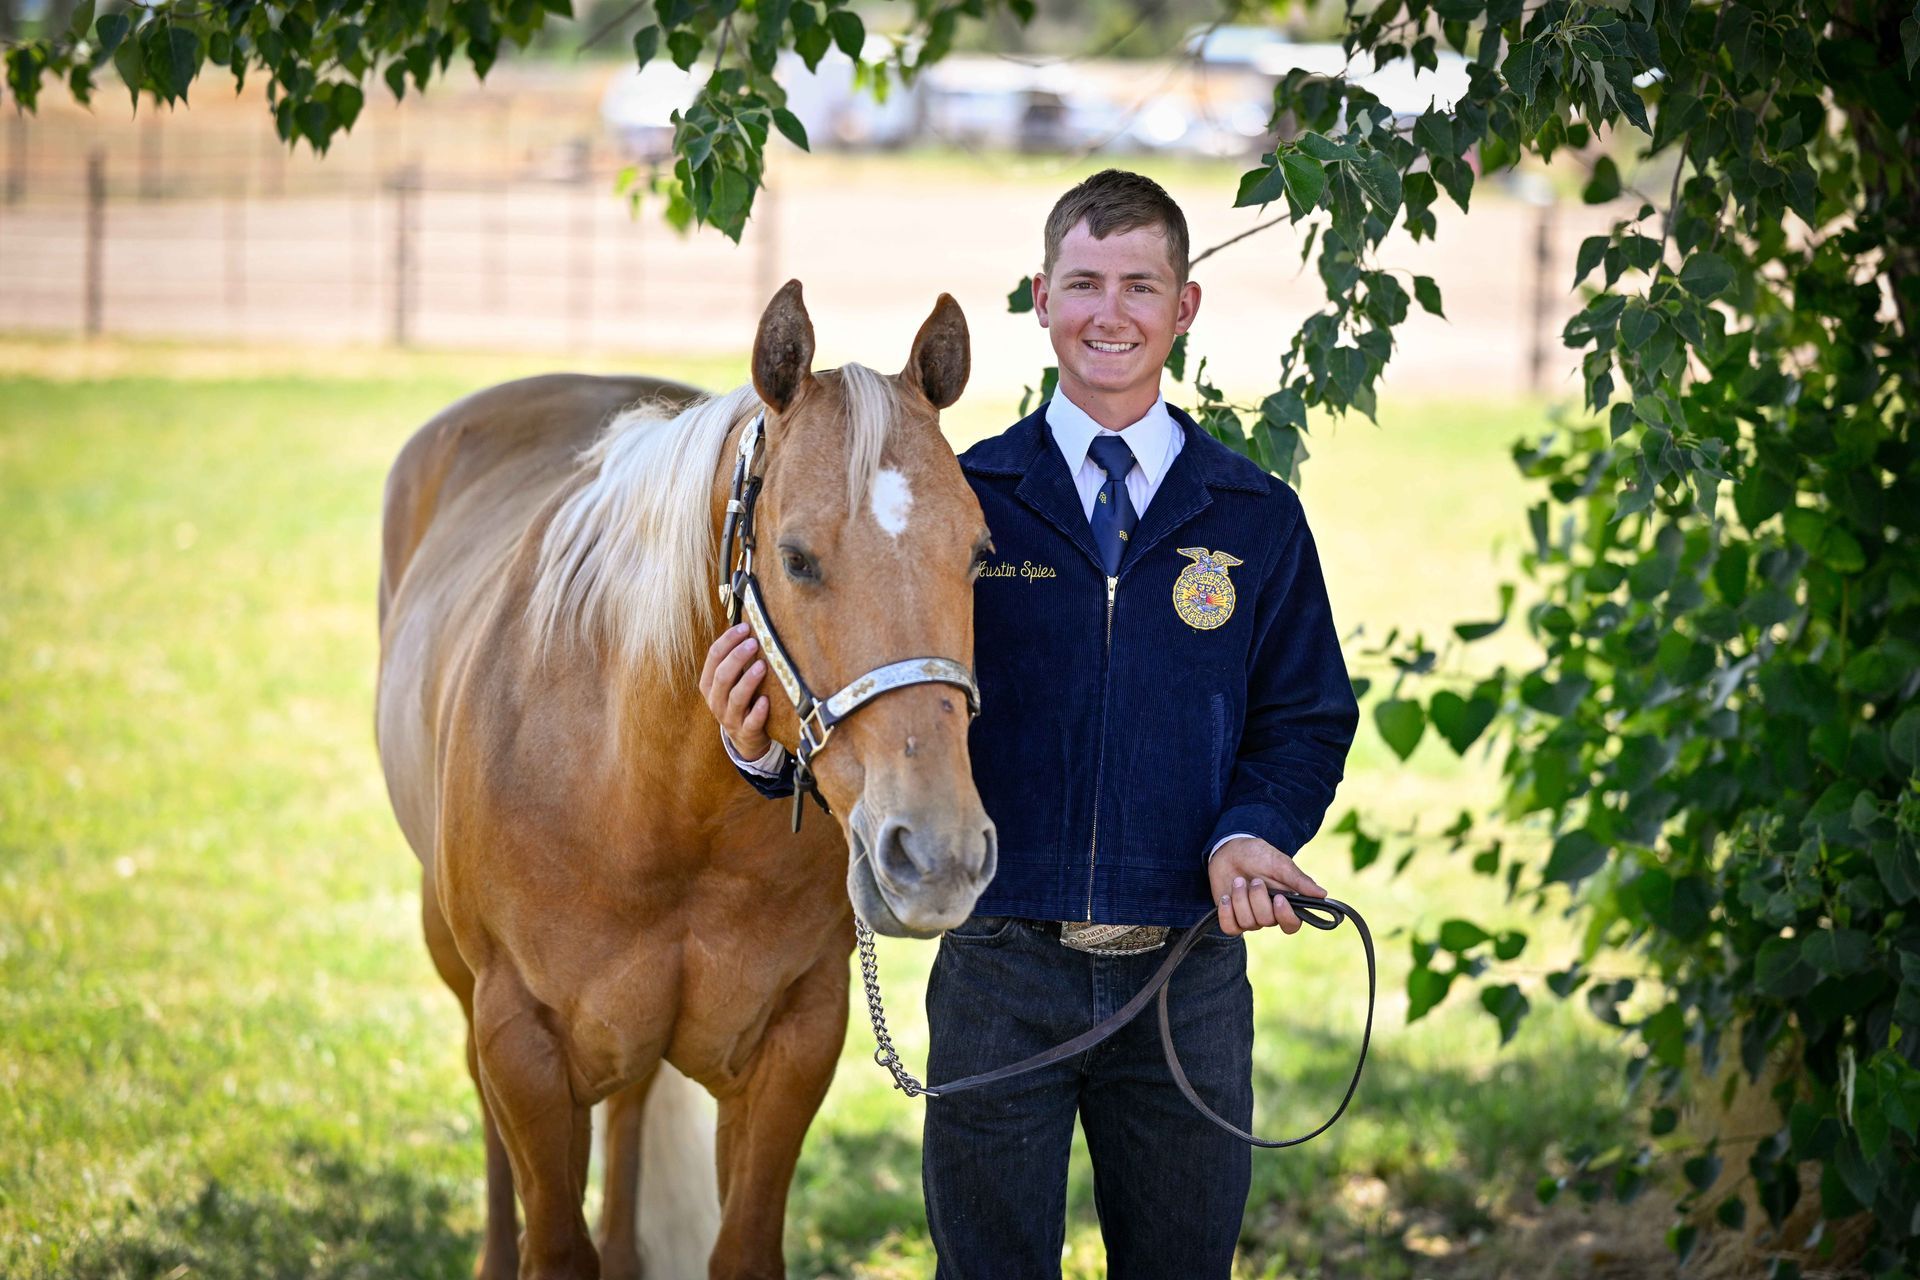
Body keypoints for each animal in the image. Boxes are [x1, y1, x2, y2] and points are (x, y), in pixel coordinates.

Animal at [380, 282, 998, 1280]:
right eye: (795, 557)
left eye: (979, 554)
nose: (937, 854)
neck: (652, 800)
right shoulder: (519, 1040)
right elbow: (551, 1238)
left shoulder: (796, 1037)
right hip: (452, 954)